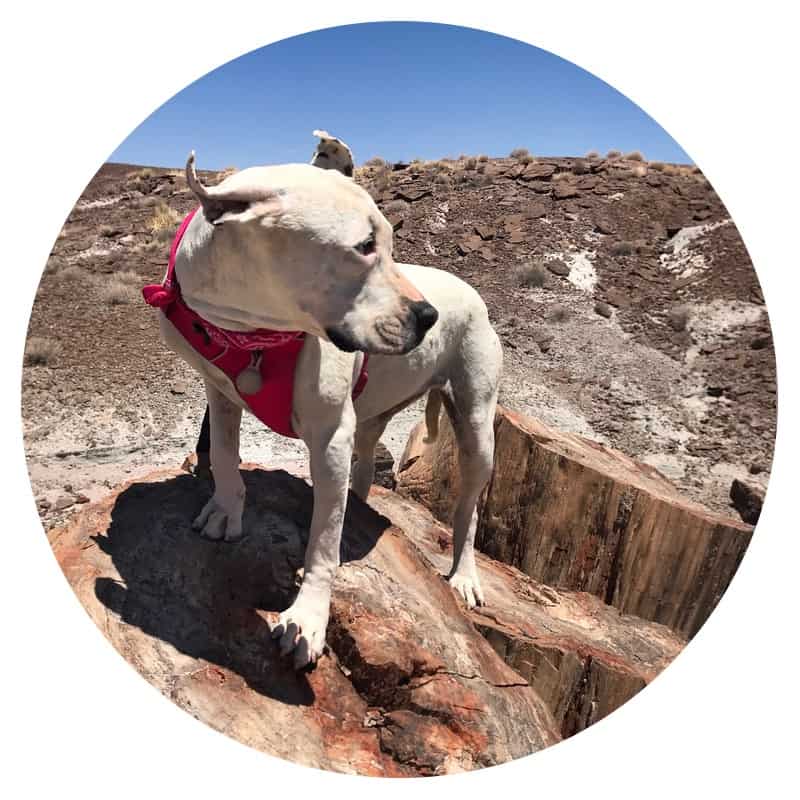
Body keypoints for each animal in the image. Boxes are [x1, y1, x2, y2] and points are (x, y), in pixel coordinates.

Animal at [150, 150, 500, 668]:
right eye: (364, 245)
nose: (428, 317)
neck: (253, 332)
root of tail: (470, 291)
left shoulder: (330, 437)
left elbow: (323, 541)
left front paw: (308, 619)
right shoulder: (220, 392)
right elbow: (225, 456)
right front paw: (226, 509)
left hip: (477, 426)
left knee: (468, 509)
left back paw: (463, 574)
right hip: (374, 415)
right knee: (366, 464)